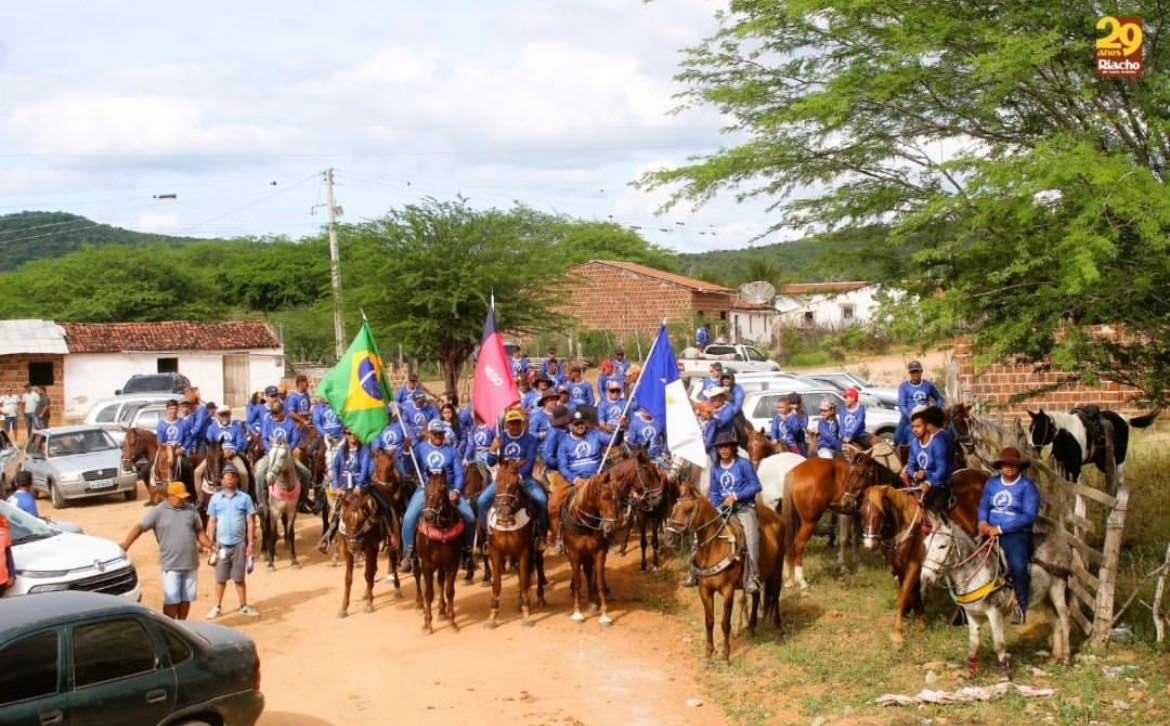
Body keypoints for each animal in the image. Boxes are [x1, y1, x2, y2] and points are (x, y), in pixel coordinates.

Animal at [263, 441, 301, 572]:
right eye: (270, 455)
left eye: (282, 456)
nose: (269, 478)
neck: (286, 487)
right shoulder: (274, 512)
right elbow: (273, 534)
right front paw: (270, 563)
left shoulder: (291, 511)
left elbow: (290, 534)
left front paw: (294, 560)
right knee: (266, 529)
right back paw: (269, 554)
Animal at [414, 472, 463, 631]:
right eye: (426, 490)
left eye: (443, 489)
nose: (428, 516)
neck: (441, 529)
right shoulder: (427, 564)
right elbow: (429, 593)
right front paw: (427, 623)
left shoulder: (453, 563)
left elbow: (449, 591)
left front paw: (452, 621)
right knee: (418, 576)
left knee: (441, 582)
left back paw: (442, 610)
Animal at [484, 460, 542, 626]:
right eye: (497, 481)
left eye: (516, 483)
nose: (503, 513)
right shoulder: (495, 551)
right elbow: (497, 583)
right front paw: (492, 616)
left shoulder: (524, 550)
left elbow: (524, 580)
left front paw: (526, 614)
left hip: (536, 549)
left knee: (538, 568)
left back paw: (539, 597)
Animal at [669, 484, 786, 659]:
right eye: (674, 508)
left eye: (689, 510)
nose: (669, 537)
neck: (715, 547)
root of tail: (777, 517)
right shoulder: (705, 590)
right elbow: (709, 622)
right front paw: (709, 654)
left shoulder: (728, 590)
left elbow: (725, 623)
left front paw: (725, 655)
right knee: (756, 594)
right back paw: (752, 627)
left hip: (777, 568)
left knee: (776, 594)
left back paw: (779, 628)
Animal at [917, 509, 1071, 673]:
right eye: (925, 545)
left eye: (942, 546)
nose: (925, 577)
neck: (976, 573)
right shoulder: (972, 614)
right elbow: (973, 644)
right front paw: (970, 673)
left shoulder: (994, 613)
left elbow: (999, 644)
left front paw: (1005, 673)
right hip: (1043, 597)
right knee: (1055, 622)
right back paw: (1054, 658)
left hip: (1057, 588)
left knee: (1064, 619)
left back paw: (1066, 659)